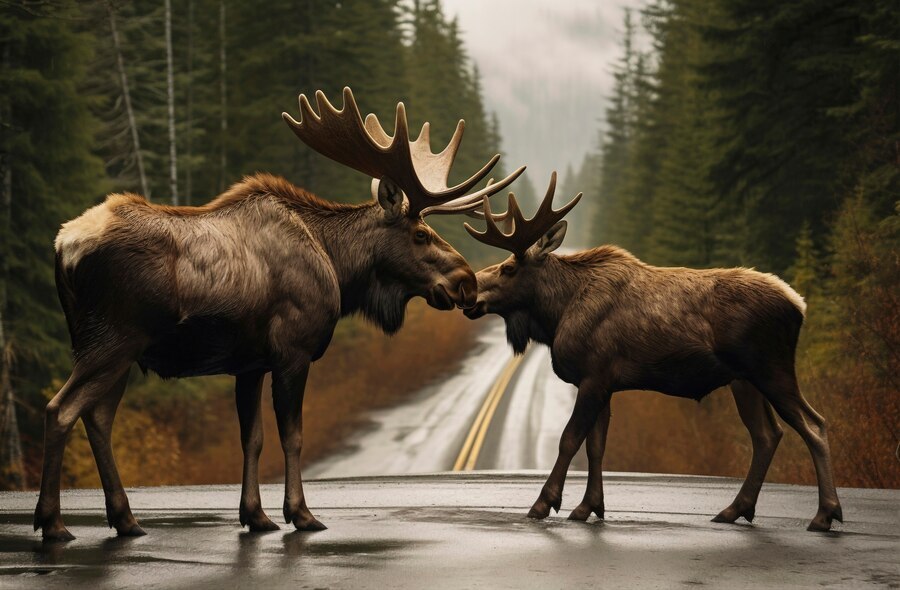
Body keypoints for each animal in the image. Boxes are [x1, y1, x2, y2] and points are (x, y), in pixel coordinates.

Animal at [38, 88, 524, 540]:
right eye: (421, 234)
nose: (466, 280)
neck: (338, 266)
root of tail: (63, 245)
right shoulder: (293, 352)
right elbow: (293, 436)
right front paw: (301, 513)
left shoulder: (249, 363)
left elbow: (252, 439)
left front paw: (255, 515)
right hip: (112, 341)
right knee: (60, 409)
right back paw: (53, 523)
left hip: (111, 350)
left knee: (97, 417)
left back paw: (125, 519)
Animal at [464, 173, 844, 536]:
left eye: (508, 268)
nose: (469, 293)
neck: (557, 313)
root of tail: (799, 305)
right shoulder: (603, 382)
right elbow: (596, 445)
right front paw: (589, 507)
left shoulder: (594, 377)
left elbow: (570, 439)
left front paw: (544, 503)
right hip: (744, 380)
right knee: (767, 435)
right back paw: (735, 509)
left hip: (770, 368)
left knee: (814, 424)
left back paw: (825, 514)